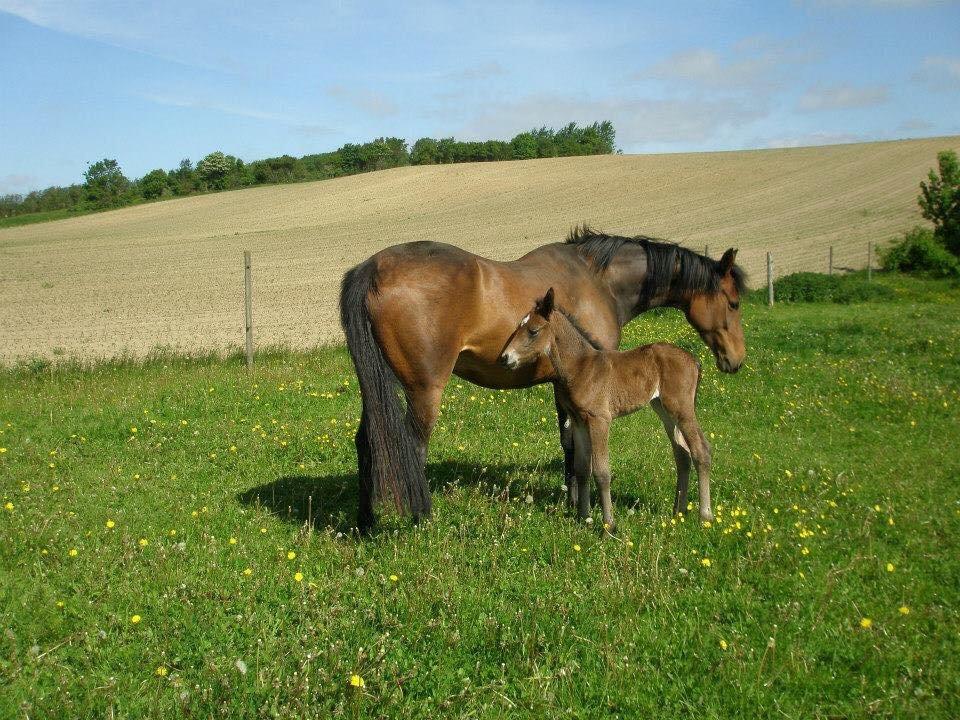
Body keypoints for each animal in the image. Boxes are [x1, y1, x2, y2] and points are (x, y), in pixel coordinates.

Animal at [502, 286, 712, 528]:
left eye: (533, 331)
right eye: (518, 327)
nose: (505, 358)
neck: (580, 367)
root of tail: (694, 360)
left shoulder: (599, 419)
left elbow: (602, 472)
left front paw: (608, 524)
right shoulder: (578, 421)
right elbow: (582, 469)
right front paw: (583, 517)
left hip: (682, 409)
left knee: (701, 450)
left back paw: (705, 515)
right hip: (663, 409)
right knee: (682, 454)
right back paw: (678, 512)